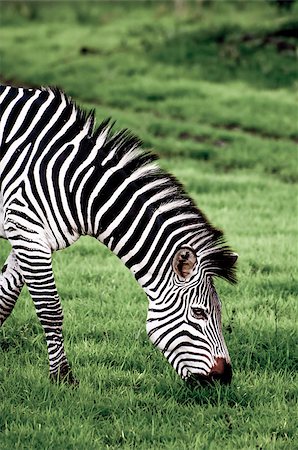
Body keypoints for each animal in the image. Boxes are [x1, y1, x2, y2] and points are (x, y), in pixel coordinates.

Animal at [0, 85, 237, 386]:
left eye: (219, 313)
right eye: (199, 312)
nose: (224, 377)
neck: (78, 185)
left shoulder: (31, 238)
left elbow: (4, 299)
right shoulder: (26, 229)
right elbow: (50, 309)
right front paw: (63, 377)